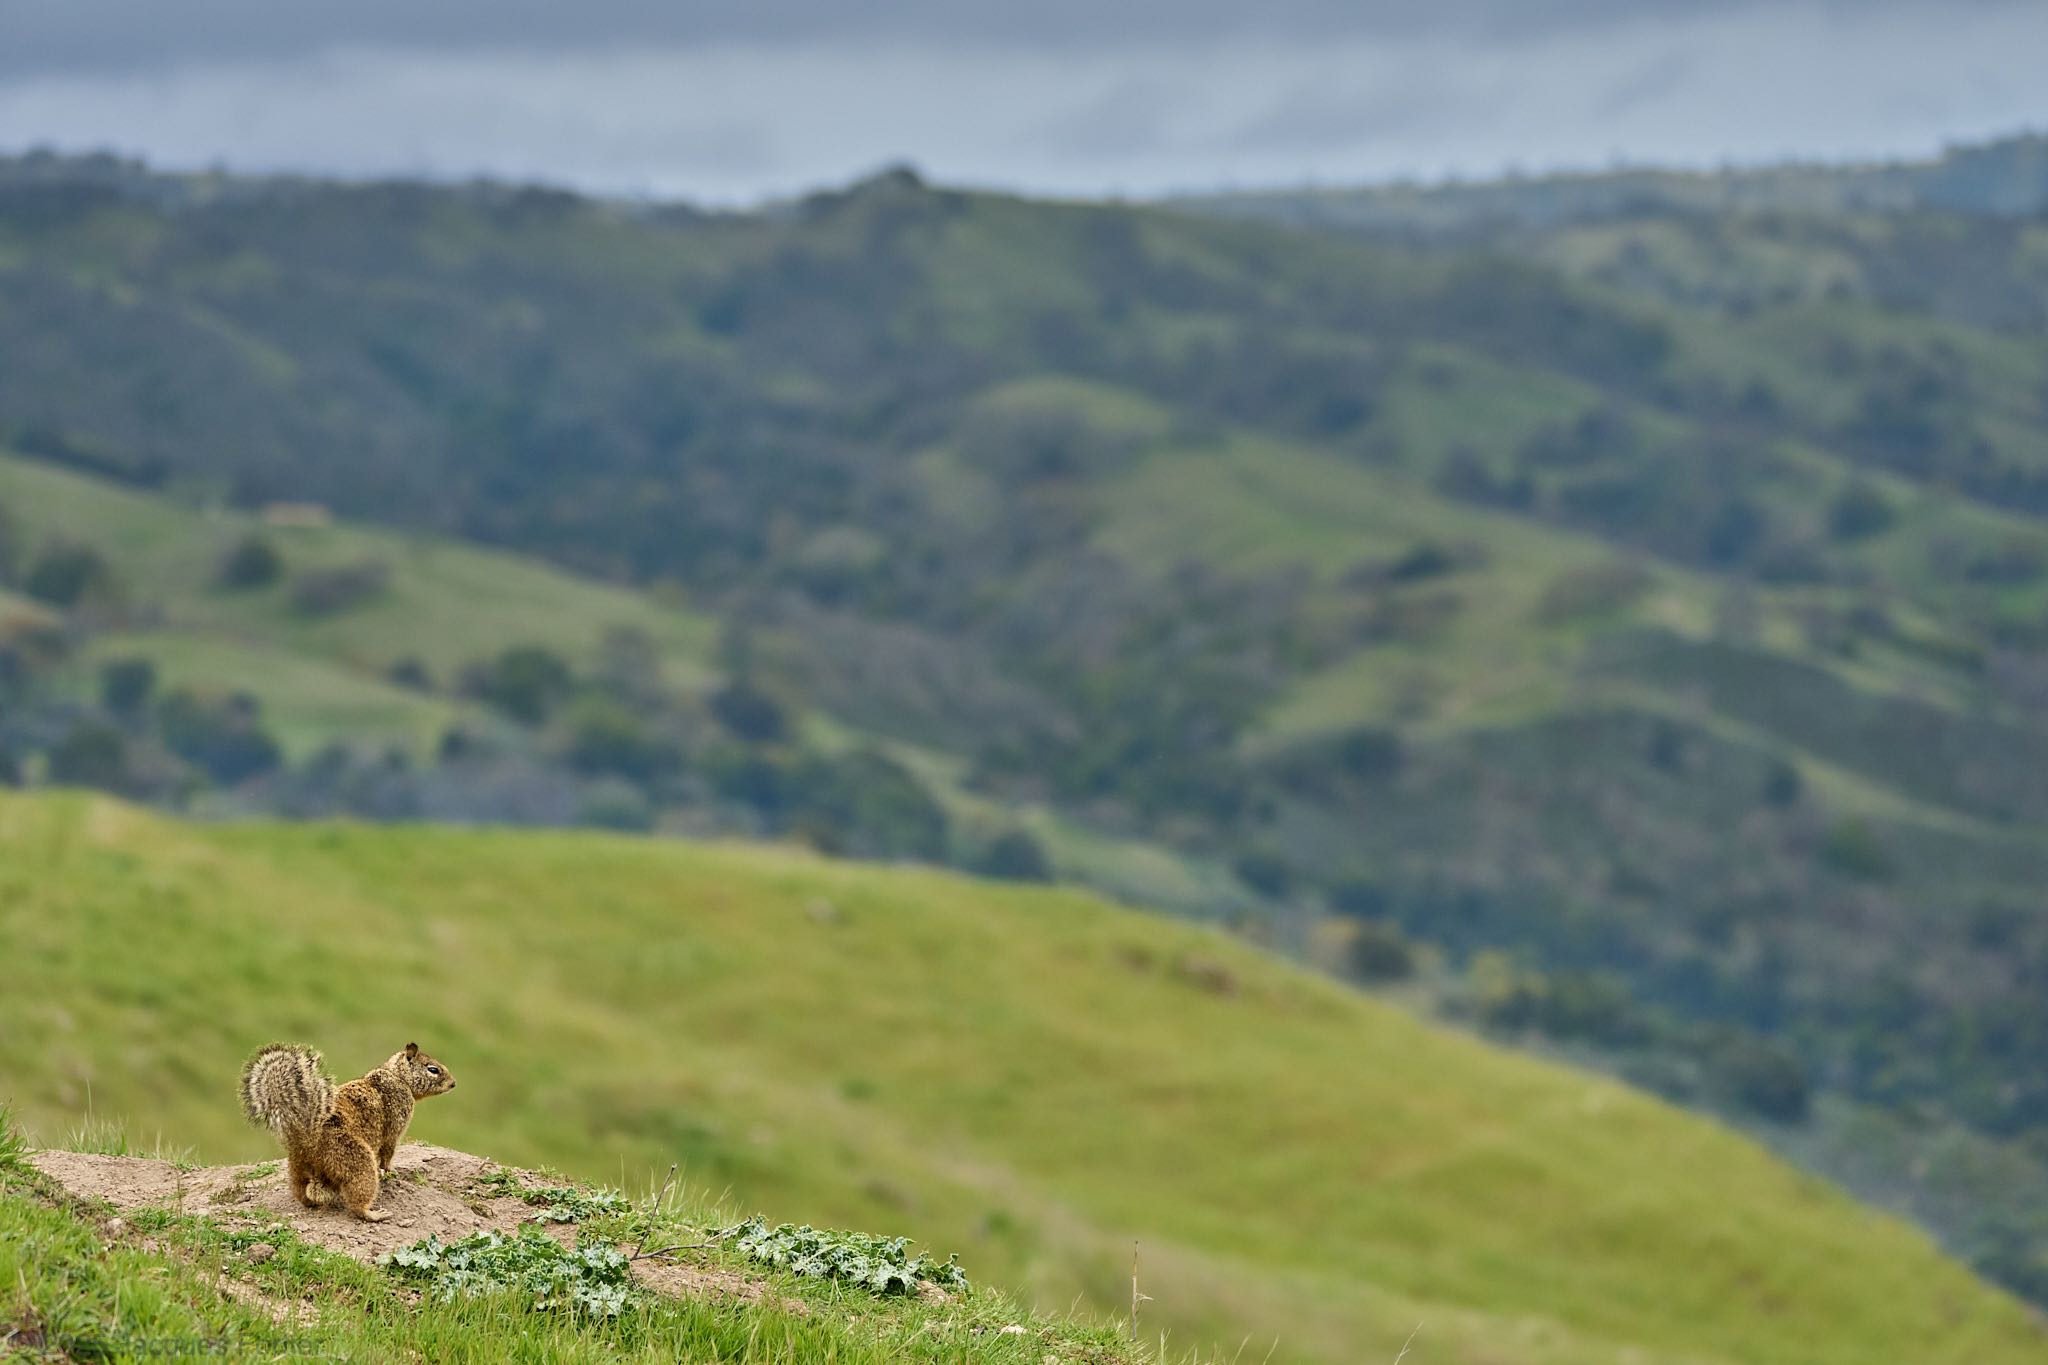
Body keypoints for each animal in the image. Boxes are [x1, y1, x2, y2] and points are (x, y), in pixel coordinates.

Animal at [239, 1042, 456, 1222]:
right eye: (433, 1069)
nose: (454, 1083)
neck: (398, 1077)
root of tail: (306, 1140)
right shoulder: (395, 1127)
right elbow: (388, 1153)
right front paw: (391, 1171)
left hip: (296, 1168)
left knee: (303, 1193)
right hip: (358, 1161)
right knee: (356, 1203)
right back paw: (375, 1214)